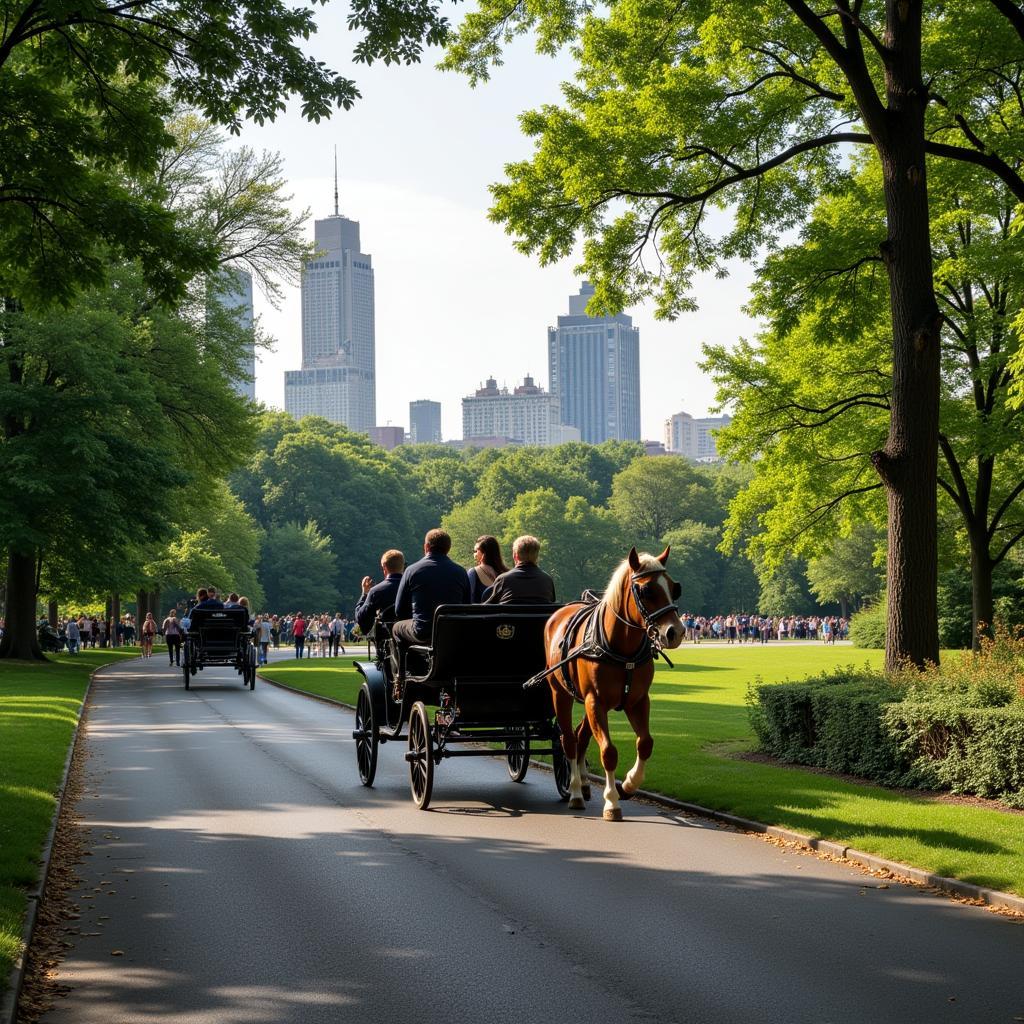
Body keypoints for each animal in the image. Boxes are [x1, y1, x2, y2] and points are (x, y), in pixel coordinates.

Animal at [540, 548, 684, 819]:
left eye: (673, 587)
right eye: (646, 590)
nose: (675, 632)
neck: (622, 649)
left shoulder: (637, 701)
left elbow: (645, 743)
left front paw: (628, 784)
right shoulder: (595, 700)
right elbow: (608, 751)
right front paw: (611, 801)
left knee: (580, 736)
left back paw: (584, 784)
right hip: (561, 695)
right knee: (569, 741)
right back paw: (575, 790)